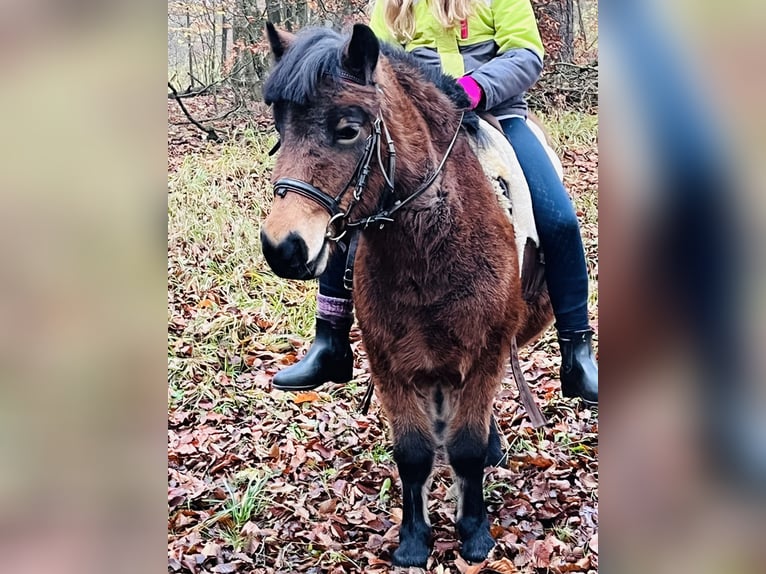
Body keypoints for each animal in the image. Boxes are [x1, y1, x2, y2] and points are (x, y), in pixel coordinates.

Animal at [260, 23, 556, 572]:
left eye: (348, 129)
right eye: (281, 129)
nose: (282, 247)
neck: (430, 252)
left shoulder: (486, 352)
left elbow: (465, 447)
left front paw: (474, 533)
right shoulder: (389, 361)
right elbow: (414, 453)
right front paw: (414, 539)